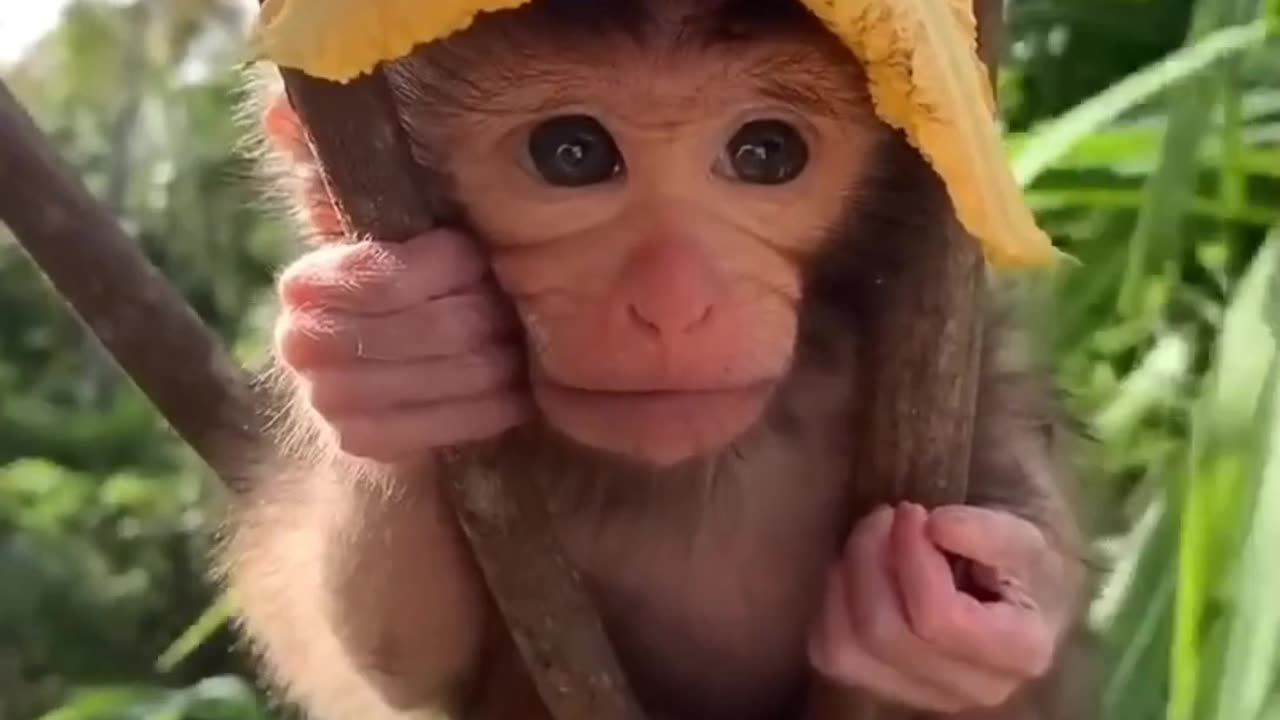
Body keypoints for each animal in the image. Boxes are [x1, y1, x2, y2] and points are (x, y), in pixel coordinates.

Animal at [220, 1, 1095, 719]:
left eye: (766, 152)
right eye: (570, 153)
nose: (674, 305)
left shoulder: (953, 317)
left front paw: (984, 615)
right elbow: (405, 657)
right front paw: (400, 351)